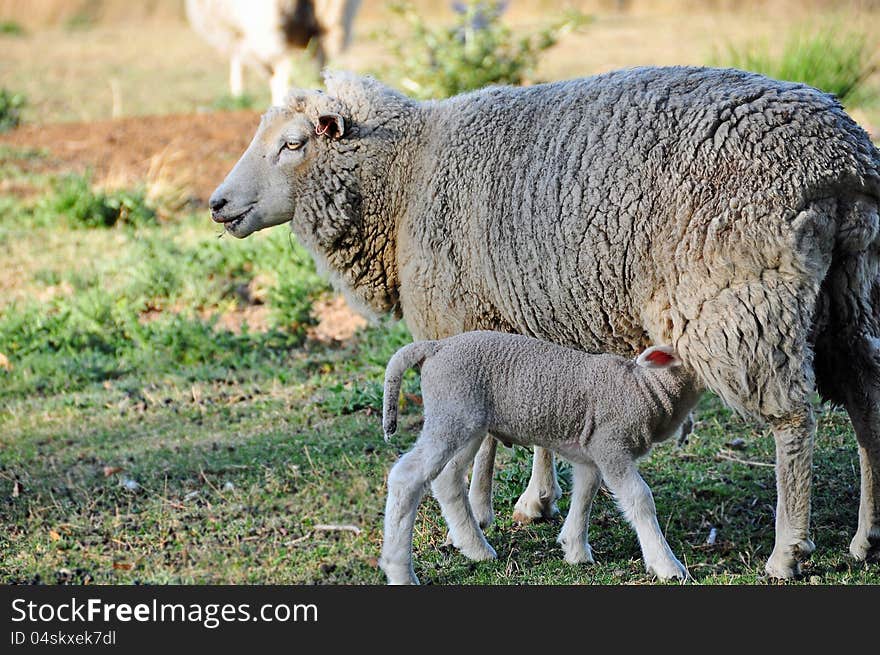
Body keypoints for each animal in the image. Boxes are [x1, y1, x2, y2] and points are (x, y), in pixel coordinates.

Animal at [378, 334, 700, 584]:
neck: (645, 390)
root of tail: (436, 347)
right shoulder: (610, 445)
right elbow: (639, 498)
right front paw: (667, 566)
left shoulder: (588, 449)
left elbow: (585, 492)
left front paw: (575, 549)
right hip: (452, 413)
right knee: (407, 477)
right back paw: (400, 572)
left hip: (467, 423)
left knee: (448, 478)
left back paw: (476, 548)